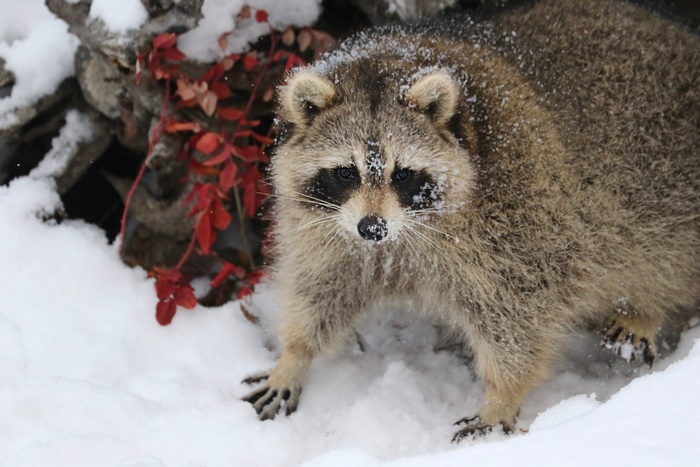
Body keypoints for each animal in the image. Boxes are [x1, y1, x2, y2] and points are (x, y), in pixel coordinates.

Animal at [243, 0, 700, 441]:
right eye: (345, 172)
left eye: (402, 174)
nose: (372, 228)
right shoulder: (330, 229)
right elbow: (322, 286)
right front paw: (295, 354)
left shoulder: (520, 215)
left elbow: (519, 313)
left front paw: (501, 395)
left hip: (664, 178)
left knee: (656, 240)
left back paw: (648, 306)